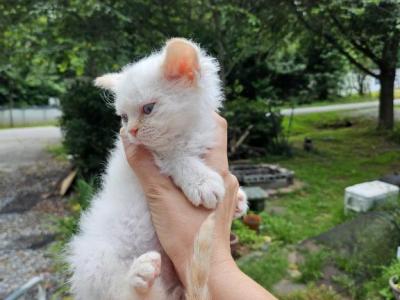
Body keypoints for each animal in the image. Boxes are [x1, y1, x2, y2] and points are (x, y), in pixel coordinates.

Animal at [67, 38, 245, 300]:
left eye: (148, 109)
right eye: (124, 117)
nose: (131, 131)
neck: (188, 132)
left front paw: (239, 200)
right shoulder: (153, 155)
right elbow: (175, 157)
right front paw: (201, 182)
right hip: (94, 258)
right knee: (120, 292)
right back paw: (139, 277)